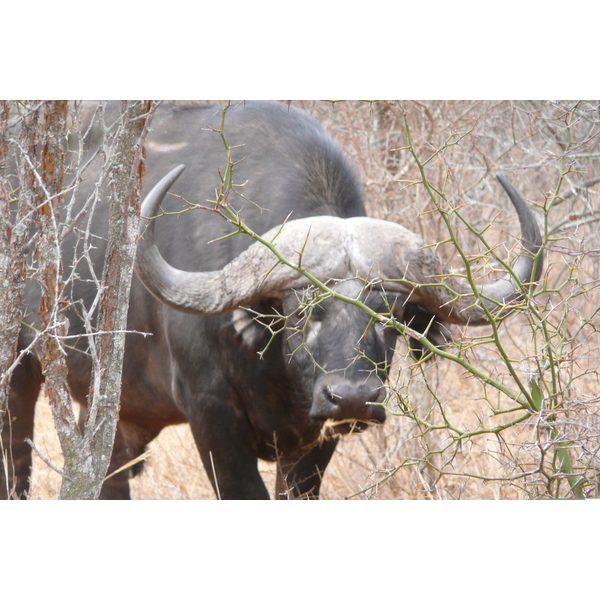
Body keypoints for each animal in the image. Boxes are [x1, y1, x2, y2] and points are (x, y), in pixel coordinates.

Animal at [1, 101, 544, 500]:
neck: (276, 372)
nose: (353, 397)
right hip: (19, 377)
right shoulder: (212, 416)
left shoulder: (314, 438)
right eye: (302, 313)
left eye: (389, 318)